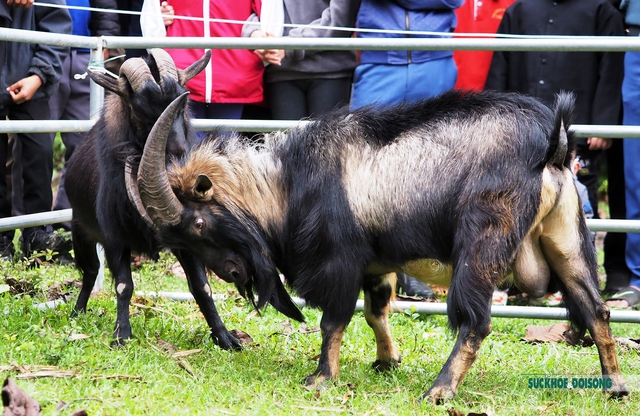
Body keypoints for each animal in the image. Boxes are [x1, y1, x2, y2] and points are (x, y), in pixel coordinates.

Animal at [65, 48, 242, 348]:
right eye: (138, 109)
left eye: (183, 101)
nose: (180, 157)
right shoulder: (115, 237)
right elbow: (124, 286)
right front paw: (122, 335)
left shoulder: (185, 237)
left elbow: (202, 287)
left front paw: (224, 337)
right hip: (80, 232)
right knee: (89, 272)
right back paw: (77, 313)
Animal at [127, 89, 628, 402]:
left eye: (197, 222)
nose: (232, 274)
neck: (286, 183)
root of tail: (553, 144)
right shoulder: (375, 262)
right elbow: (376, 311)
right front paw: (387, 360)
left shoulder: (339, 259)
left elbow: (333, 321)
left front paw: (321, 378)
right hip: (565, 238)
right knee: (596, 308)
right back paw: (616, 385)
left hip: (483, 242)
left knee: (475, 321)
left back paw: (440, 390)